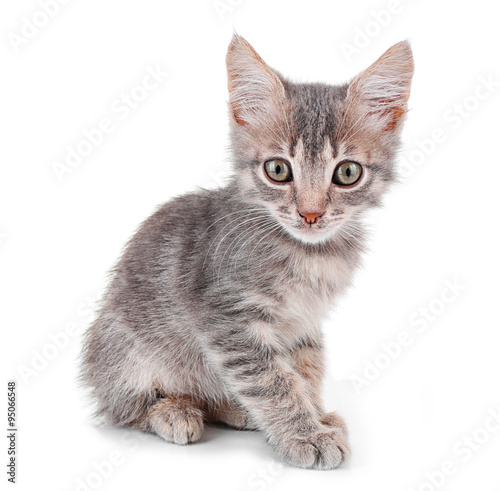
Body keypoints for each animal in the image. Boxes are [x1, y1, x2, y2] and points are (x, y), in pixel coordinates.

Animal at [79, 34, 414, 468]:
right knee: (124, 407)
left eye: (347, 172)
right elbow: (272, 380)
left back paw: (232, 409)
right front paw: (306, 434)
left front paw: (316, 416)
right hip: (125, 350)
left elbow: (303, 372)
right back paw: (174, 410)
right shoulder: (229, 320)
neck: (307, 253)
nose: (310, 213)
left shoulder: (304, 324)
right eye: (278, 169)